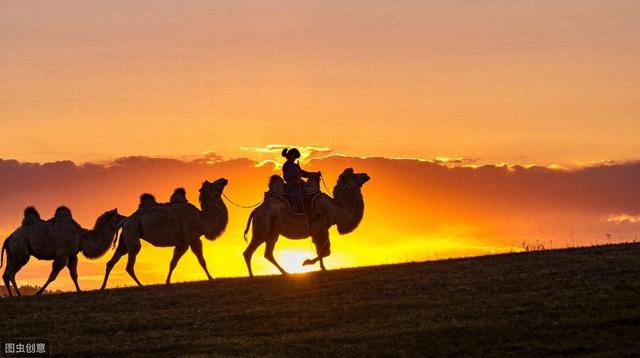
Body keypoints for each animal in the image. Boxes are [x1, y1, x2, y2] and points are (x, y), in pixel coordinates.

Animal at [100, 178, 228, 290]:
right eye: (211, 185)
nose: (224, 180)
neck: (202, 220)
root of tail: (125, 220)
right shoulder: (193, 238)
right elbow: (202, 261)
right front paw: (211, 278)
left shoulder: (183, 243)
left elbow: (173, 263)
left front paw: (167, 282)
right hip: (132, 233)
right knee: (129, 265)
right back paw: (141, 285)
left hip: (125, 239)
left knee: (111, 262)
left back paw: (103, 287)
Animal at [241, 168, 370, 276]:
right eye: (354, 176)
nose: (366, 175)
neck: (335, 210)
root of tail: (256, 210)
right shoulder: (319, 228)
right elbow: (325, 250)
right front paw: (307, 262)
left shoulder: (323, 230)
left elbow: (323, 250)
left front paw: (322, 267)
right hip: (262, 226)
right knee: (249, 252)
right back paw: (252, 276)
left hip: (273, 231)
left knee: (268, 253)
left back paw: (285, 272)